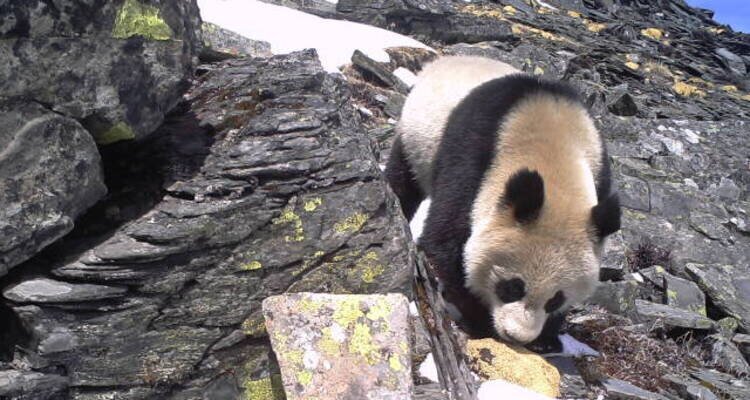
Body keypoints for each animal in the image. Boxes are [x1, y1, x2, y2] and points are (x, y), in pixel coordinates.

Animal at [388, 54, 624, 348]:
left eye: (555, 299)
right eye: (512, 287)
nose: (517, 336)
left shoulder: (599, 176)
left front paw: (547, 339)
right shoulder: (474, 161)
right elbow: (446, 241)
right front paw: (480, 319)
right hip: (415, 138)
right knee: (403, 181)